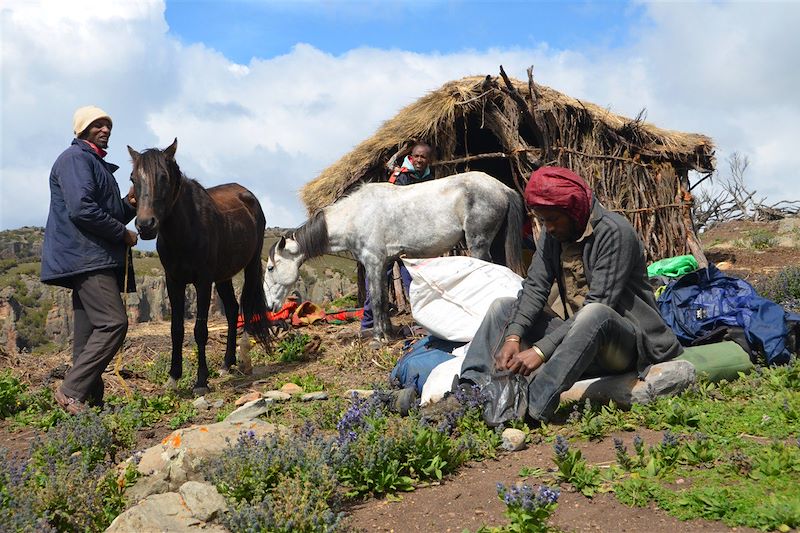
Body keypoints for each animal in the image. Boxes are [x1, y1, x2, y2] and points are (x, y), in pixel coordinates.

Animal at [128, 138, 270, 394]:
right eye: (133, 178)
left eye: (163, 177)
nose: (145, 225)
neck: (185, 230)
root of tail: (246, 194)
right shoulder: (174, 281)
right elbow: (176, 330)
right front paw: (173, 377)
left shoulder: (203, 281)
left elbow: (200, 330)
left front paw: (201, 381)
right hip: (223, 276)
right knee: (232, 310)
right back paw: (226, 364)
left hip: (250, 265)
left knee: (245, 306)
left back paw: (241, 360)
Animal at [264, 170, 524, 338]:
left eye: (270, 267)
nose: (269, 306)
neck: (355, 215)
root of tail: (502, 187)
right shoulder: (384, 263)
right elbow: (379, 296)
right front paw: (387, 331)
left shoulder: (374, 261)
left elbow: (378, 298)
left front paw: (380, 336)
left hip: (479, 243)